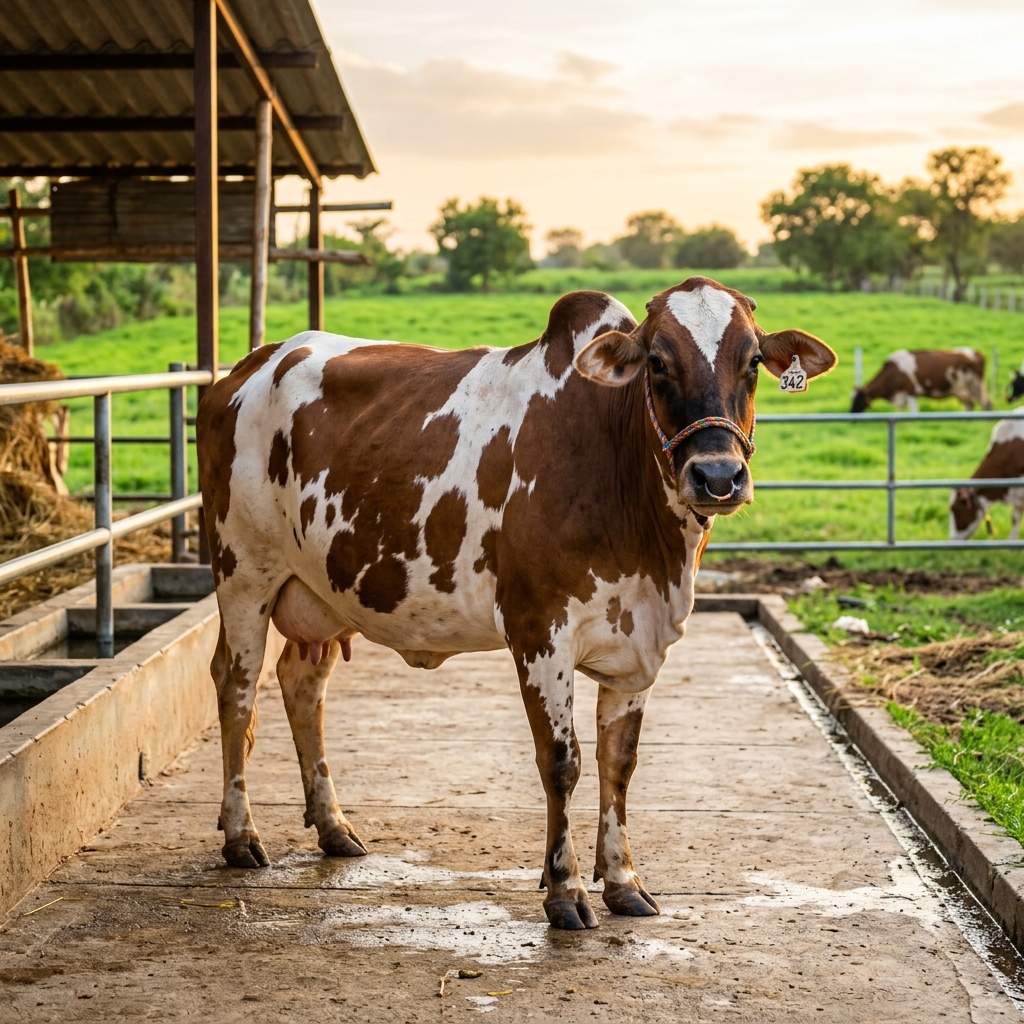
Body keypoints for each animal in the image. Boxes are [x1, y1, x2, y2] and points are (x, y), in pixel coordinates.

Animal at [196, 277, 836, 930]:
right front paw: (565, 888)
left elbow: (618, 763)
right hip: (244, 573)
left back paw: (332, 826)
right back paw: (241, 834)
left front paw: (624, 880)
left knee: (302, 685)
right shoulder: (539, 632)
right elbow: (562, 761)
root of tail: (249, 365)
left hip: (323, 590)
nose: (718, 477)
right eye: (657, 363)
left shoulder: (638, 644)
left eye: (752, 361)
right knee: (237, 689)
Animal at [851, 348, 989, 413]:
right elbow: (900, 412)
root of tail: (976, 353)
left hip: (970, 386)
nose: (852, 414)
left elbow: (914, 412)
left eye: (859, 400)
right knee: (978, 403)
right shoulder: (901, 396)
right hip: (971, 387)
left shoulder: (911, 393)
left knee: (981, 403)